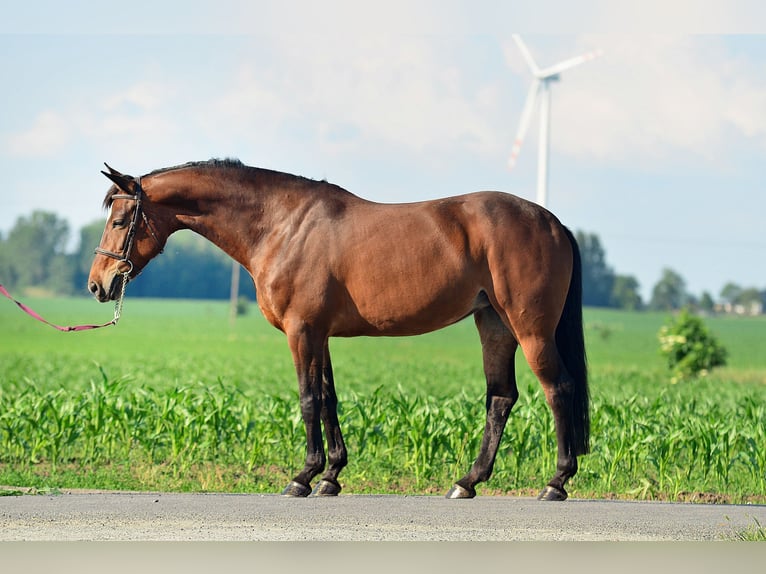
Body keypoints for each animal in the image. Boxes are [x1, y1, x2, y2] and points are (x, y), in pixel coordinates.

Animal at [91, 160, 592, 502]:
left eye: (119, 220)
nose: (98, 284)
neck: (283, 225)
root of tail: (552, 222)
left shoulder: (301, 332)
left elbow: (308, 400)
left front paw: (303, 476)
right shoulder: (321, 335)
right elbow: (329, 398)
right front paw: (331, 475)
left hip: (531, 330)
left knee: (558, 389)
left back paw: (556, 481)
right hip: (494, 324)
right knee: (501, 397)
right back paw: (467, 481)